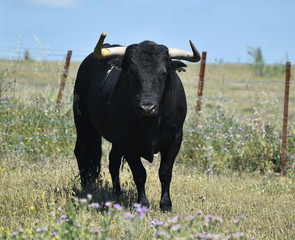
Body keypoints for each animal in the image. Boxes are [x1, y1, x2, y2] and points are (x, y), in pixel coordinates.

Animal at [73, 34, 201, 212]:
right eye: (132, 73)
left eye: (163, 73)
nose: (147, 107)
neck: (151, 123)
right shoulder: (127, 141)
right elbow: (139, 173)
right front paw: (143, 204)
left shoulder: (175, 137)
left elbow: (165, 172)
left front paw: (166, 205)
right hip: (83, 123)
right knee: (82, 151)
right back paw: (86, 190)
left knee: (113, 162)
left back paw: (117, 194)